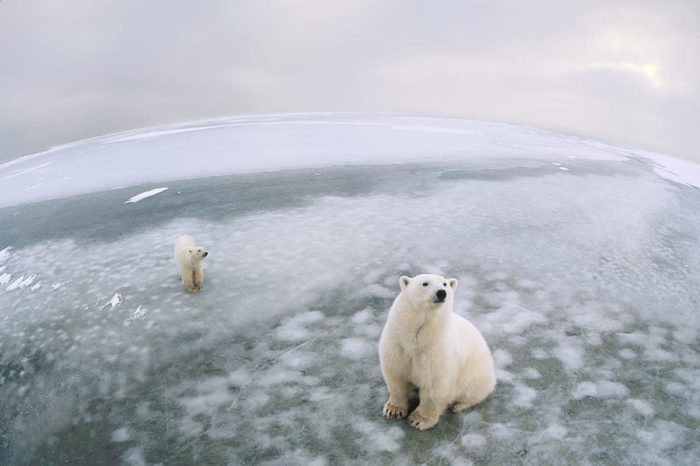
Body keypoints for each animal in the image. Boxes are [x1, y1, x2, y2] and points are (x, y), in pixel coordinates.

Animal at [378, 274, 498, 430]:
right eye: (425, 283)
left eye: (445, 284)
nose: (441, 292)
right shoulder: (397, 342)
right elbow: (396, 374)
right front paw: (393, 410)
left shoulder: (436, 348)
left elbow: (434, 384)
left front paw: (418, 420)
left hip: (476, 373)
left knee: (473, 392)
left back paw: (458, 405)